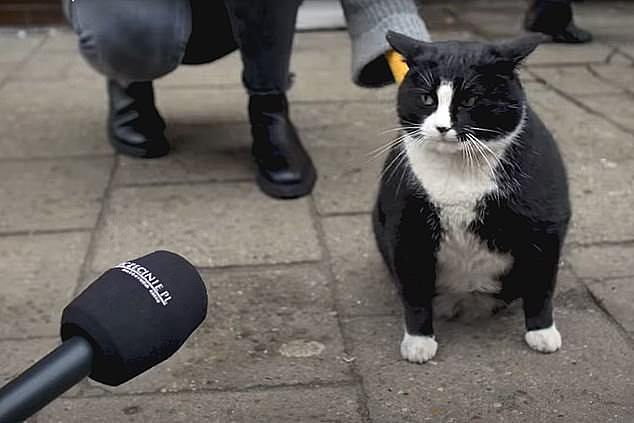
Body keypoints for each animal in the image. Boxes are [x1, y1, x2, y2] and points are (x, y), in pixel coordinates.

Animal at [372, 32, 572, 364]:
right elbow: (415, 293)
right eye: (427, 99)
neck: (460, 170)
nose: (442, 127)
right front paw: (418, 341)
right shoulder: (407, 229)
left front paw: (542, 332)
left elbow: (541, 285)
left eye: (469, 100)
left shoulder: (545, 224)